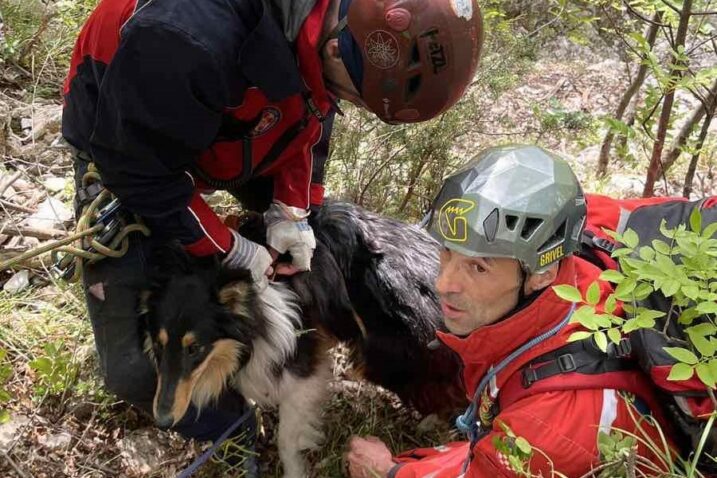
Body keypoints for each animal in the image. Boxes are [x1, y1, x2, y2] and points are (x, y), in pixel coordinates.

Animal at [141, 203, 464, 478]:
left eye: (194, 348)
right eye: (158, 345)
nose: (163, 421)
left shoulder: (302, 371)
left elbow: (288, 438)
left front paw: (295, 470)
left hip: (386, 354)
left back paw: (435, 425)